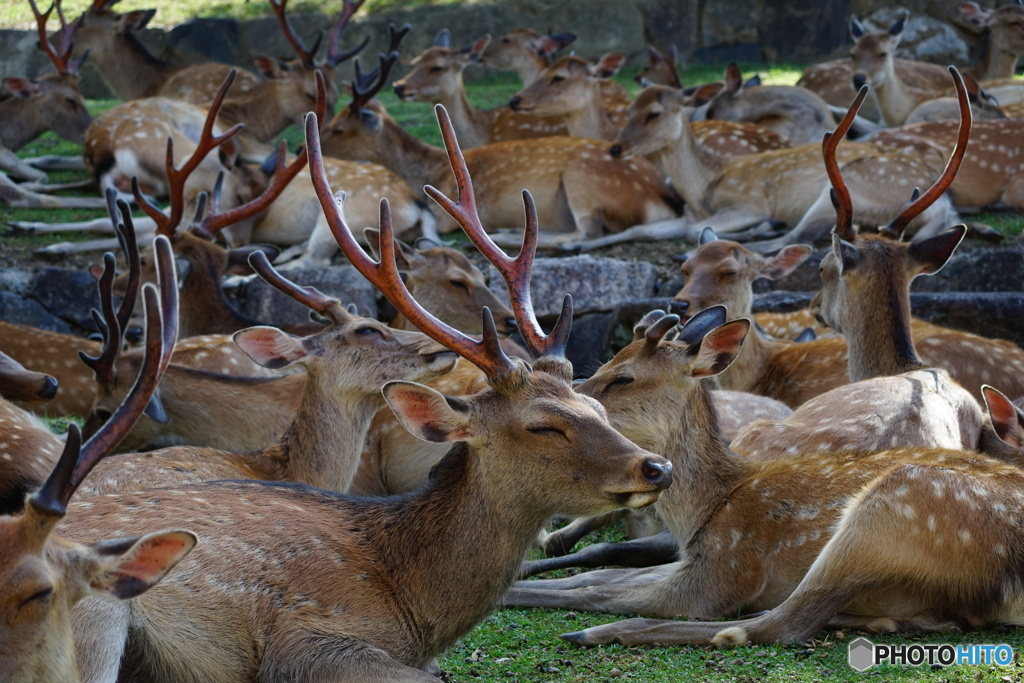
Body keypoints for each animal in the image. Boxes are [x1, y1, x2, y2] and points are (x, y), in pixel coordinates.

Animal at [59, 108, 675, 683]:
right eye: (542, 425)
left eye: (597, 407)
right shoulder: (306, 636)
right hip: (93, 609)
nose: (657, 467)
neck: (410, 604)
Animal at [589, 75, 962, 255]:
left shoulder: (749, 201)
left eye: (653, 113)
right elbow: (641, 229)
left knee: (798, 237)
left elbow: (694, 231)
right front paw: (576, 245)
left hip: (849, 188)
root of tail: (943, 204)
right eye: (629, 109)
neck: (702, 187)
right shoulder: (687, 214)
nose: (616, 147)